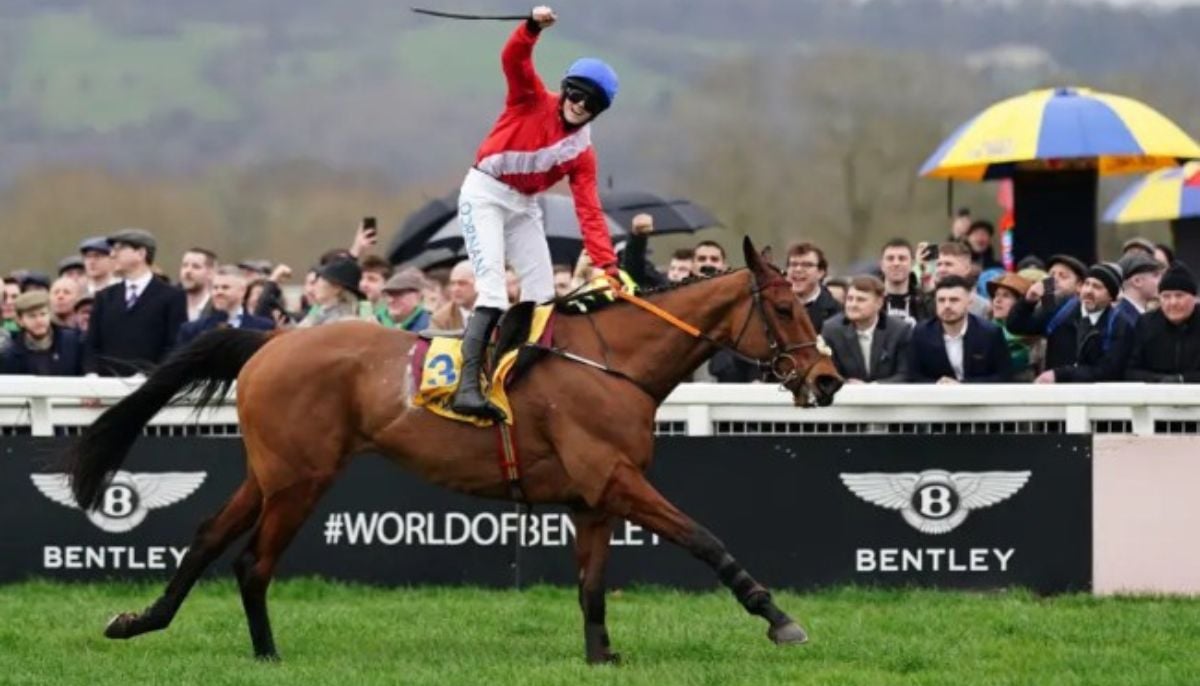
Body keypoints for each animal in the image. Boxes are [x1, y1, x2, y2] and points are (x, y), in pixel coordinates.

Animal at [65, 237, 843, 664]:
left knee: (206, 540)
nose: (829, 380)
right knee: (252, 562)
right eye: (783, 308)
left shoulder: (592, 500)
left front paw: (600, 654)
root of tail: (273, 338)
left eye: (808, 303)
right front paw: (779, 619)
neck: (611, 361)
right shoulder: (615, 479)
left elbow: (591, 586)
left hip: (273, 473)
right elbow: (705, 539)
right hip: (300, 478)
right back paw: (266, 651)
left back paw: (143, 621)